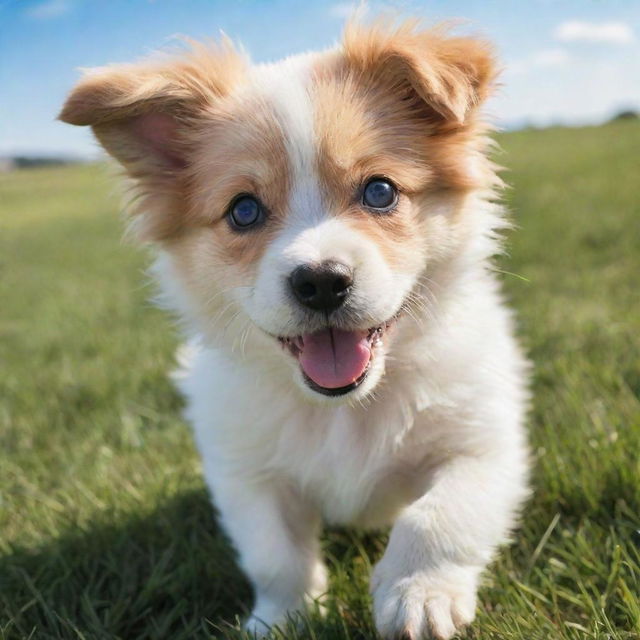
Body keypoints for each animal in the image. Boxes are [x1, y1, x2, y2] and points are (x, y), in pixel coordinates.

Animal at [60, 17, 528, 636]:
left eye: (380, 191)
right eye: (243, 210)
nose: (322, 281)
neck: (345, 412)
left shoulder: (483, 444)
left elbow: (441, 517)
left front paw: (417, 594)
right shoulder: (246, 474)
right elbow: (274, 555)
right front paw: (284, 618)